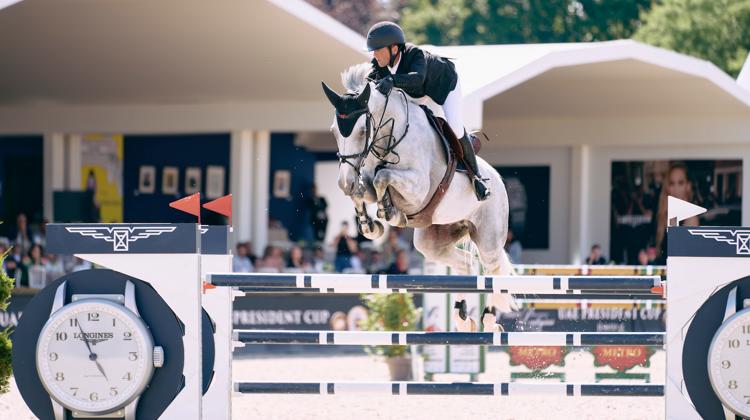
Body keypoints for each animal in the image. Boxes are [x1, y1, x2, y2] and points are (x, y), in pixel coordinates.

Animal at [324, 62, 516, 332]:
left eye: (362, 131)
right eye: (334, 132)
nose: (344, 182)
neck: (390, 135)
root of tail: (497, 179)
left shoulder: (417, 189)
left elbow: (383, 176)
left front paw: (389, 212)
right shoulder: (367, 180)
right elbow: (365, 188)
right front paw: (370, 225)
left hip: (488, 236)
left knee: (493, 270)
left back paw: (489, 321)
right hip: (433, 240)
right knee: (466, 262)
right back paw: (462, 318)